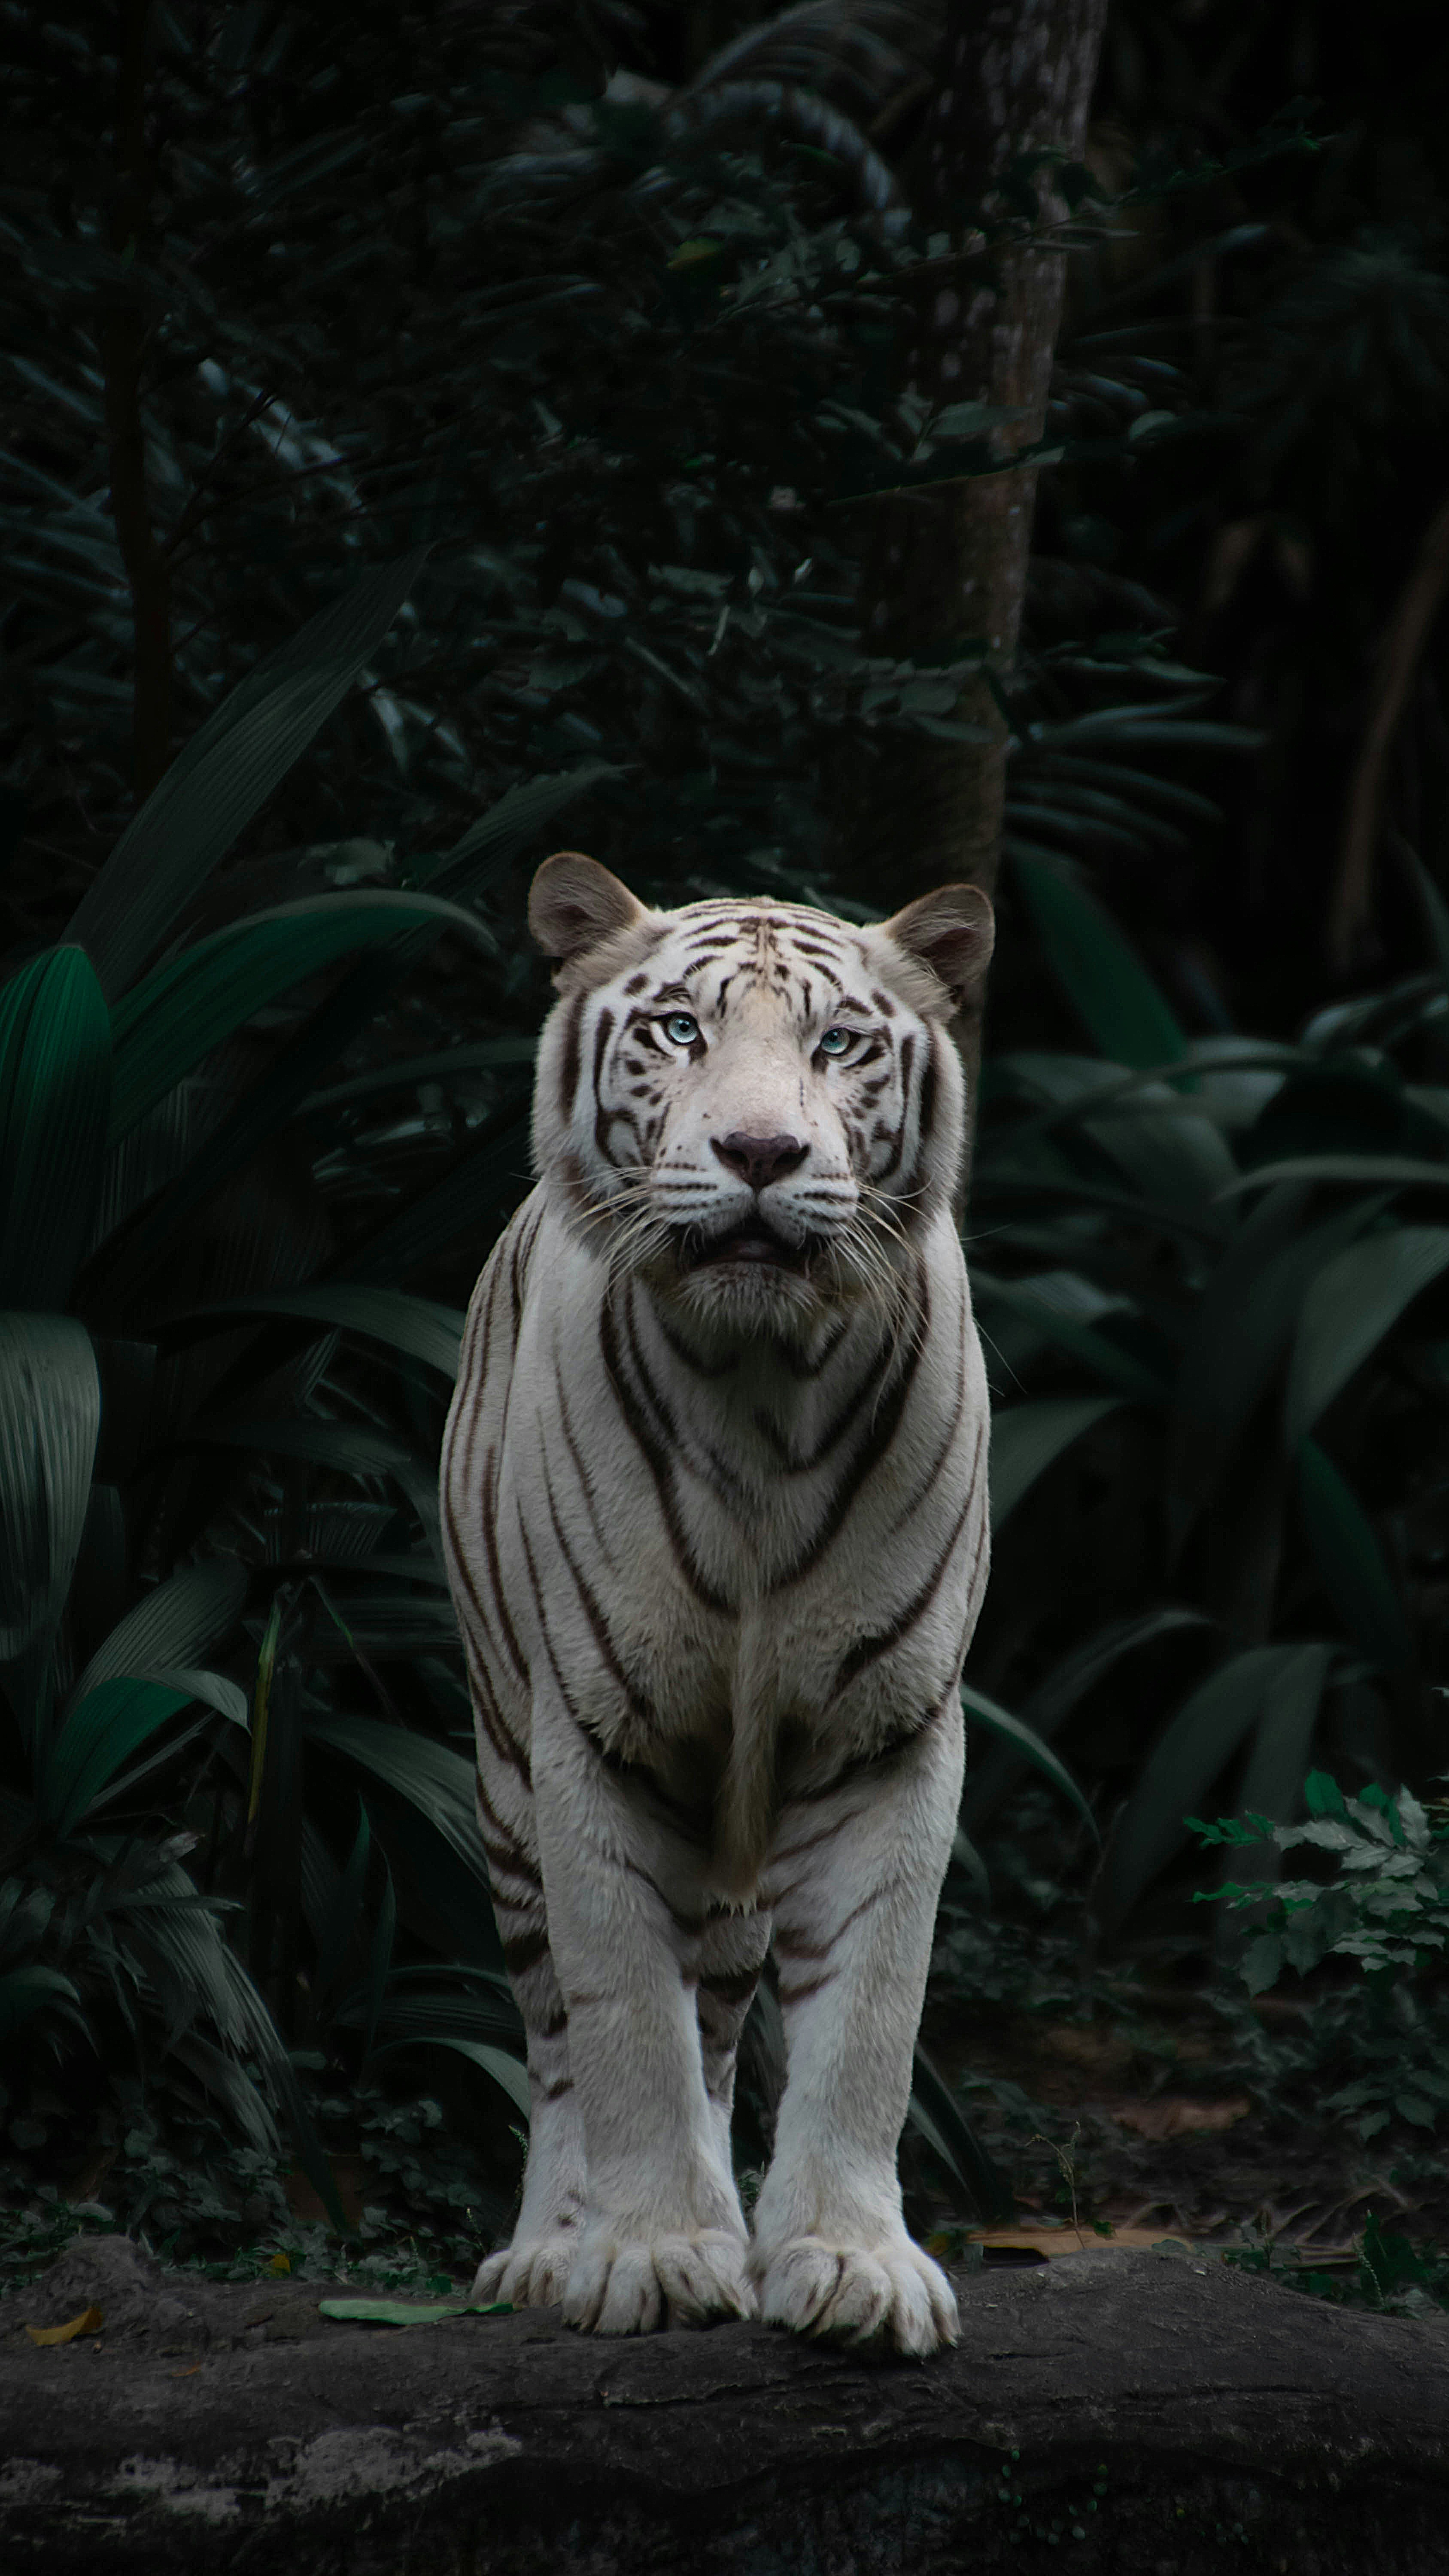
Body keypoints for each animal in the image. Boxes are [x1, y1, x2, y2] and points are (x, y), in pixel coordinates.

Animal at [433, 850, 985, 2360]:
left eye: (837, 1043)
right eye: (680, 1030)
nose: (758, 1154)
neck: (760, 1388)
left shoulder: (885, 1734)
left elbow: (868, 2021)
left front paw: (849, 2264)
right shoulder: (591, 1736)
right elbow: (624, 2020)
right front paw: (654, 2254)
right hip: (502, 1780)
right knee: (557, 2032)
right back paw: (550, 2249)